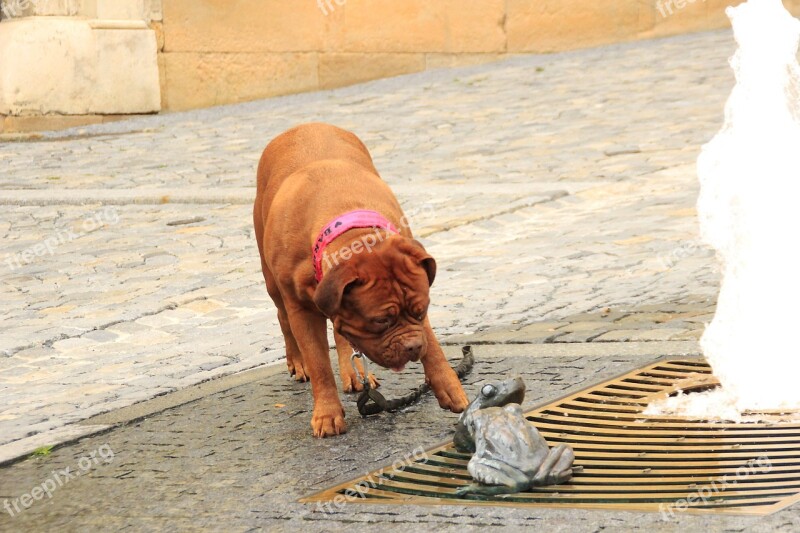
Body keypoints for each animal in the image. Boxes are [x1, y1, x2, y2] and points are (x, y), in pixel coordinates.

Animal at [255, 123, 468, 436]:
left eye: (421, 312)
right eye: (381, 321)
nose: (412, 347)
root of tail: (302, 125)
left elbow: (433, 344)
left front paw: (448, 384)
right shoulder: (301, 310)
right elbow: (319, 364)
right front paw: (327, 414)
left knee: (341, 334)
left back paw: (353, 373)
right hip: (272, 280)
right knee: (283, 319)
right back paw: (298, 362)